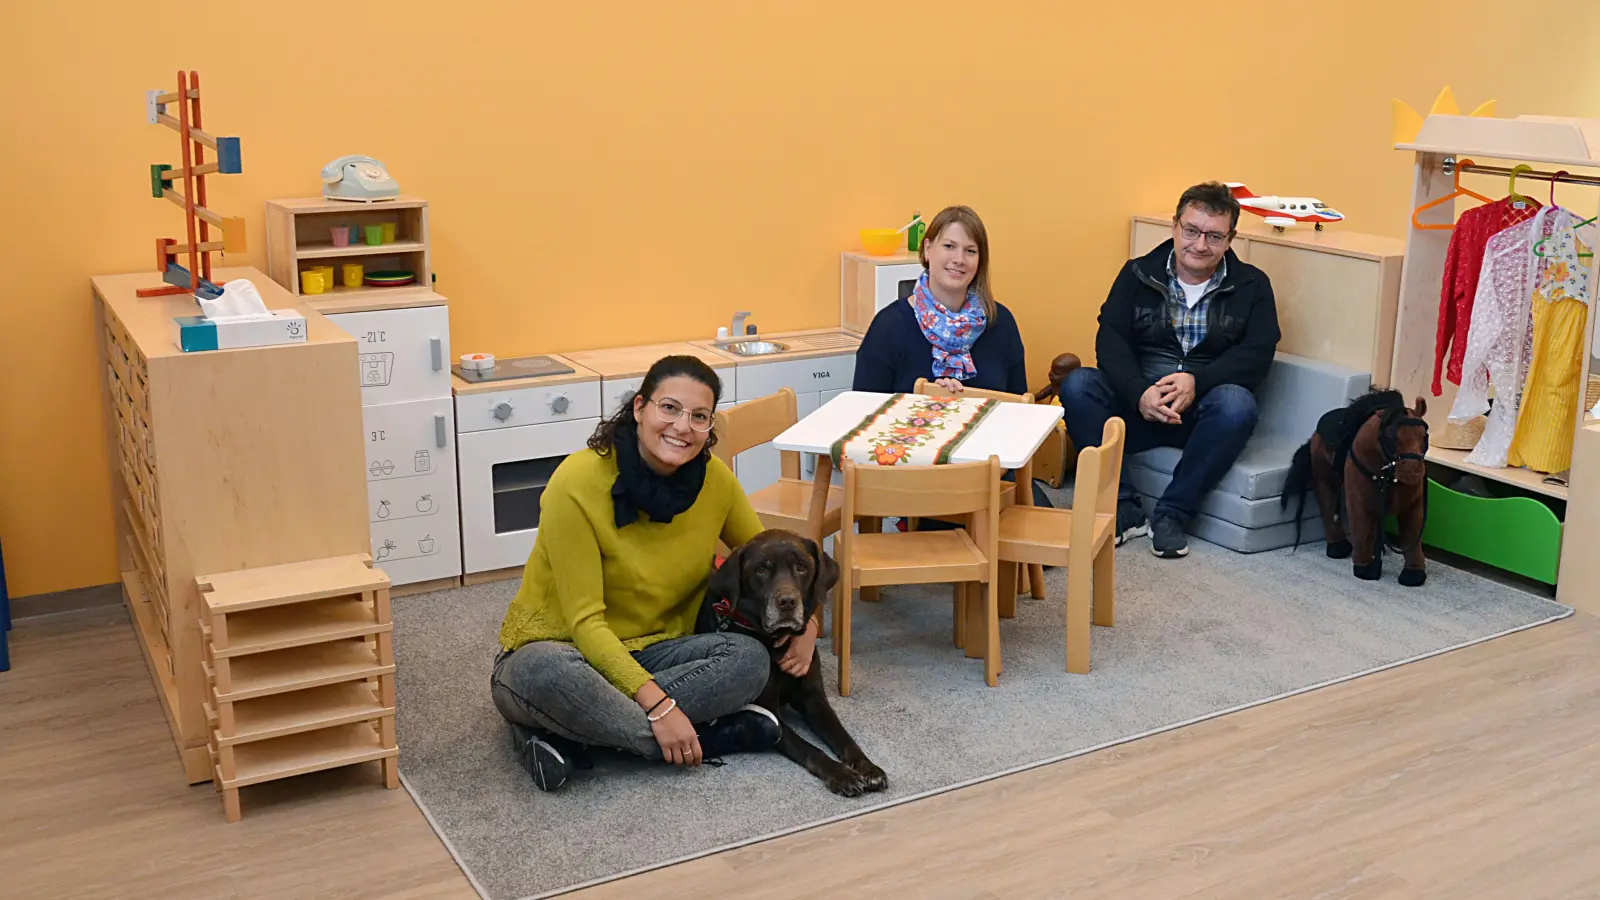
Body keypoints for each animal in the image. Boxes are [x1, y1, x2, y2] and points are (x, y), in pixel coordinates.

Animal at [694, 525, 889, 791]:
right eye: (762, 569)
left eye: (801, 567)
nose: (787, 602)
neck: (776, 643)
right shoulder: (768, 709)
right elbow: (809, 748)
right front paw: (841, 774)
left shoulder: (814, 698)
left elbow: (843, 736)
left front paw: (867, 767)